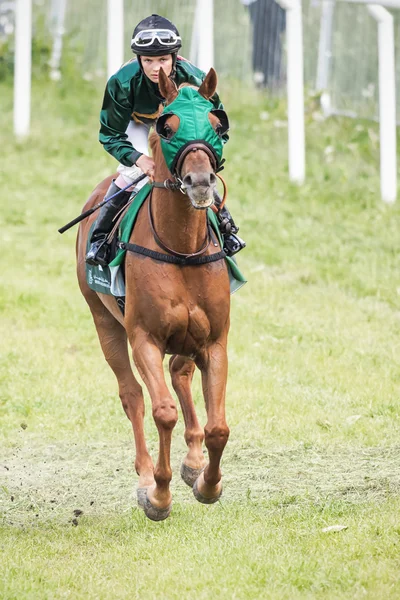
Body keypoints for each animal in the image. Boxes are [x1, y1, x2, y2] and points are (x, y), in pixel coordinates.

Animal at [76, 67, 231, 520]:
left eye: (217, 124)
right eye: (167, 127)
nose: (200, 183)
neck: (180, 247)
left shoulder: (214, 340)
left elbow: (218, 427)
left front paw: (208, 482)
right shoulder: (143, 336)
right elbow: (162, 411)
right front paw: (157, 495)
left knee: (180, 372)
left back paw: (193, 460)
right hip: (103, 321)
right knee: (132, 395)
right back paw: (146, 475)